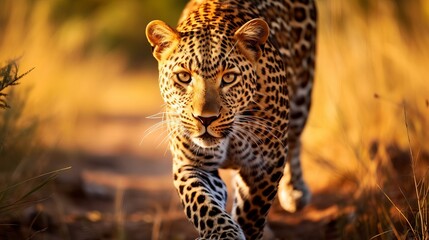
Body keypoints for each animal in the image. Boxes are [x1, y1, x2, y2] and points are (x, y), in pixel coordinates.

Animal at [145, 0, 316, 238]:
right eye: (184, 77)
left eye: (228, 78)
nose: (205, 119)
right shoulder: (192, 165)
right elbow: (203, 205)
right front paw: (224, 233)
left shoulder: (266, 164)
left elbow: (252, 212)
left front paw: (247, 228)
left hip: (302, 95)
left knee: (295, 140)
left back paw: (295, 191)